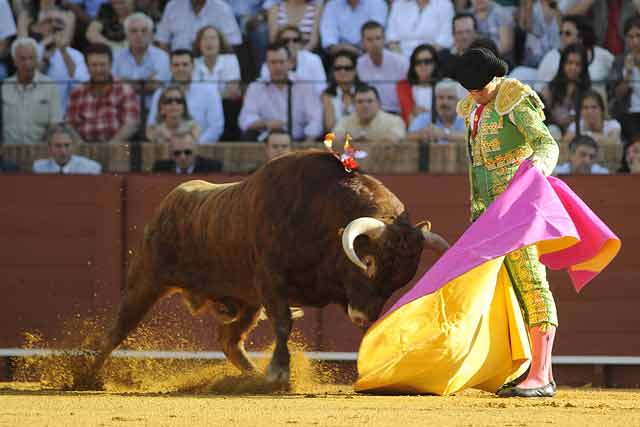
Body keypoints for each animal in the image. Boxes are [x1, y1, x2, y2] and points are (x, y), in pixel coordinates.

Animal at [77, 150, 448, 388]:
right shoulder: (272, 282)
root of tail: (172, 199)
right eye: (368, 262)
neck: (325, 218)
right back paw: (87, 377)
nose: (362, 317)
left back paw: (251, 376)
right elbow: (283, 323)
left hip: (245, 302)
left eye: (400, 280)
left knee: (229, 340)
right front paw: (279, 373)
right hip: (147, 280)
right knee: (118, 329)